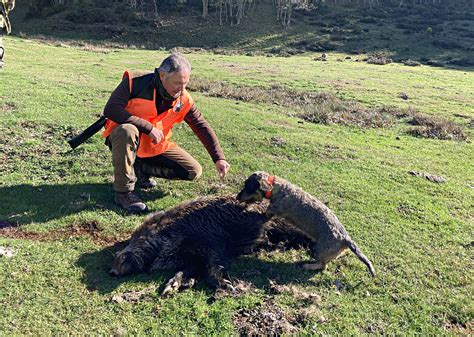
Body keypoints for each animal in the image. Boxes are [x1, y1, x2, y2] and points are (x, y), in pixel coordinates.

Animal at [239, 171, 376, 276]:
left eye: (248, 187)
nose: (237, 197)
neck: (276, 187)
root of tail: (346, 239)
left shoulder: (273, 210)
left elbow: (266, 213)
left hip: (320, 250)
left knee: (323, 266)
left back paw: (308, 266)